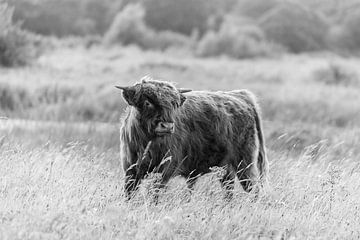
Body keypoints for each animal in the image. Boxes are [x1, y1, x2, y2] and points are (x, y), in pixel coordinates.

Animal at [116, 76, 268, 199]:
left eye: (174, 104)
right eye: (147, 102)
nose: (167, 126)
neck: (146, 143)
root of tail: (241, 96)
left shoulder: (165, 170)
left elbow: (154, 194)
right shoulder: (130, 170)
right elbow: (129, 194)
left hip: (244, 163)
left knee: (253, 189)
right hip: (227, 167)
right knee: (228, 188)